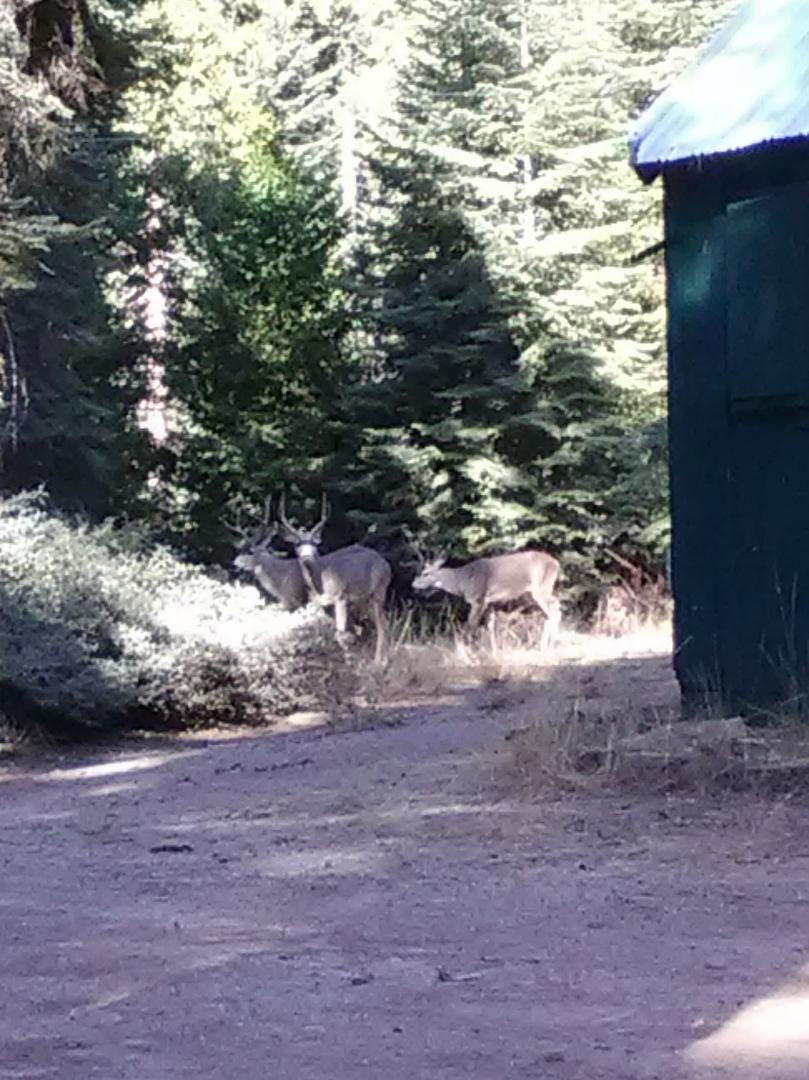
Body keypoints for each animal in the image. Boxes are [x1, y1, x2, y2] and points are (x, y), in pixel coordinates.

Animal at [277, 493, 392, 662]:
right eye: (297, 544)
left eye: (314, 543)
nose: (307, 557)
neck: (320, 582)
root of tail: (385, 563)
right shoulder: (319, 603)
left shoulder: (340, 597)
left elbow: (340, 633)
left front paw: (349, 659)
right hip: (364, 599)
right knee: (381, 622)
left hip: (379, 589)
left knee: (382, 624)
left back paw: (379, 661)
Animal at [412, 548, 562, 649]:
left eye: (425, 573)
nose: (413, 584)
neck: (462, 582)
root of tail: (556, 563)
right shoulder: (489, 602)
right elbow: (490, 625)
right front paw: (493, 649)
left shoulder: (478, 599)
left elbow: (471, 624)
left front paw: (468, 648)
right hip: (542, 588)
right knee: (554, 608)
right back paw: (546, 644)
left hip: (541, 587)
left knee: (555, 610)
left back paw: (549, 644)